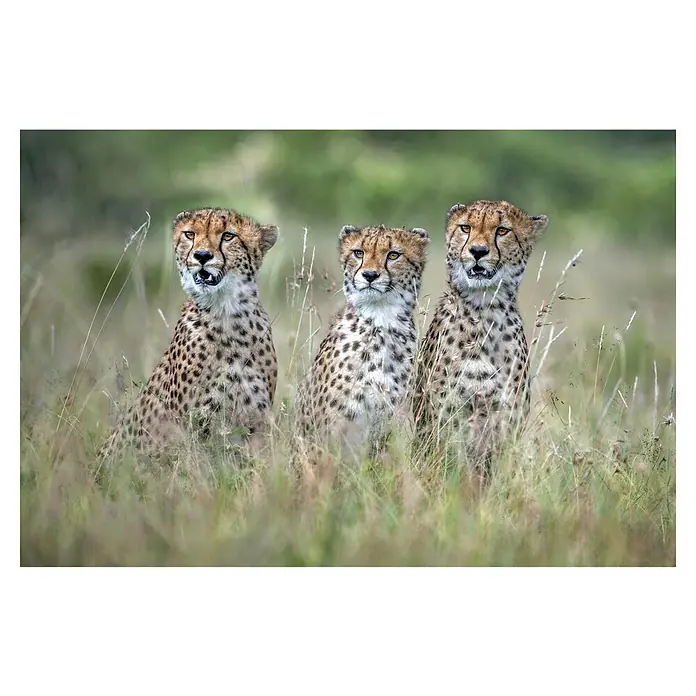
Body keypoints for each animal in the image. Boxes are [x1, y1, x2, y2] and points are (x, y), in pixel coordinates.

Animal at [98, 207, 279, 461]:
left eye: (228, 236)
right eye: (190, 234)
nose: (202, 256)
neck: (226, 313)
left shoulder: (256, 423)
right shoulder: (191, 427)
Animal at [412, 200, 548, 476]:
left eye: (502, 230)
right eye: (466, 228)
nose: (477, 251)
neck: (484, 308)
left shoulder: (505, 419)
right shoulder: (447, 419)